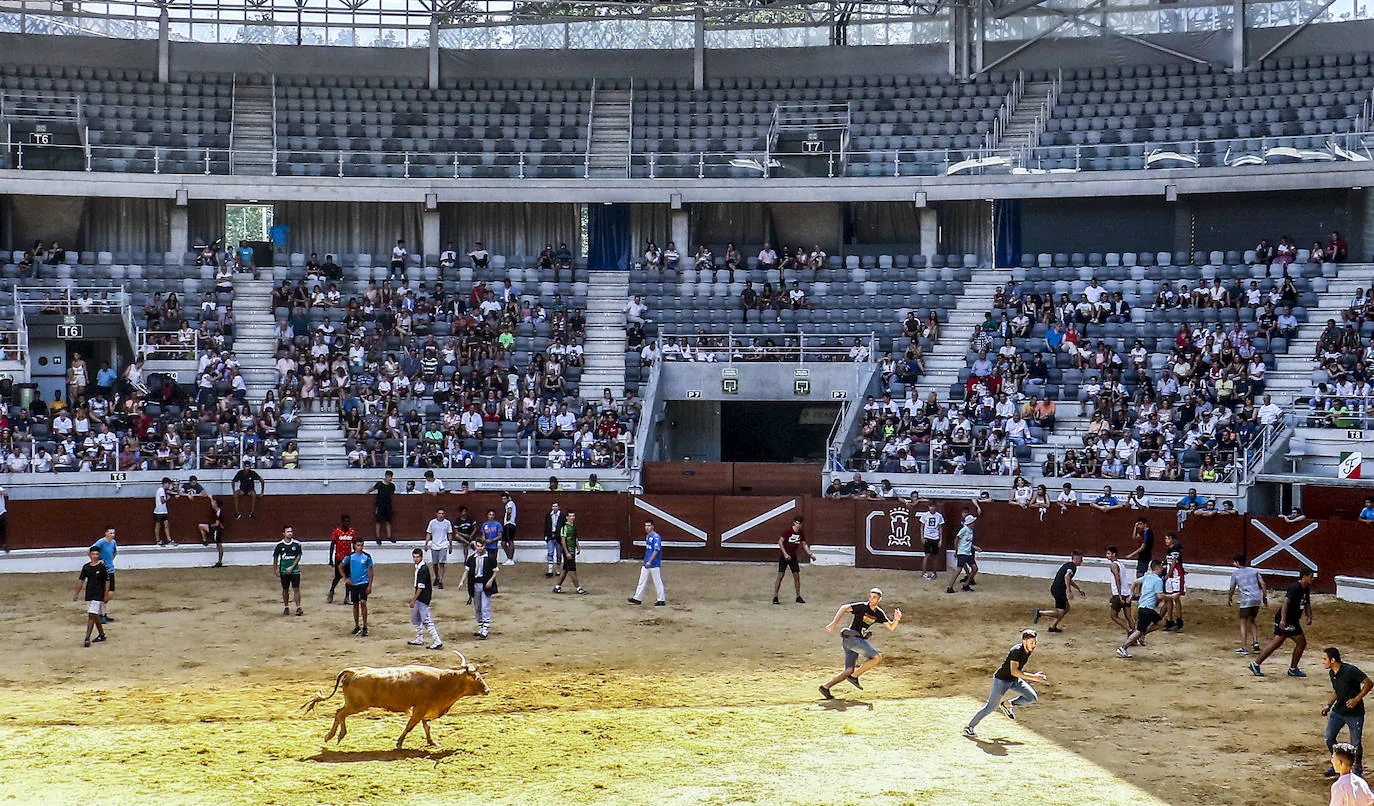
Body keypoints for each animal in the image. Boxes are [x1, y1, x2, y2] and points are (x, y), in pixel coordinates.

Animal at [300, 653, 489, 746]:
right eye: (478, 678)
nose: (487, 690)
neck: (442, 681)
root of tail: (354, 671)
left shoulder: (425, 709)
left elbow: (426, 726)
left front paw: (432, 742)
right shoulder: (420, 708)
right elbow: (411, 725)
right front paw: (399, 743)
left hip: (352, 703)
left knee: (340, 713)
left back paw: (336, 735)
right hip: (357, 705)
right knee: (340, 714)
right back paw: (334, 735)